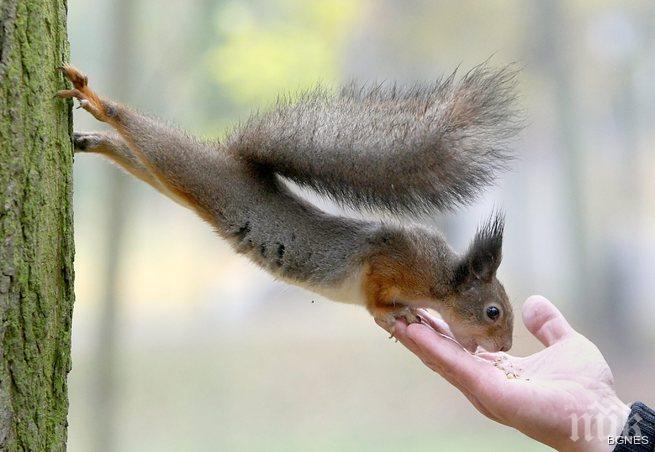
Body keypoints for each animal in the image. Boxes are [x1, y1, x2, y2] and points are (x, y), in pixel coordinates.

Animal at [59, 63, 524, 354]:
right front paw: (400, 313)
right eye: (493, 311)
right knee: (149, 138)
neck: (439, 278)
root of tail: (232, 160)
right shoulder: (388, 261)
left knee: (137, 156)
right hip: (194, 171)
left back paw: (94, 140)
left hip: (174, 181)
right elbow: (376, 296)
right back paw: (97, 102)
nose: (505, 347)